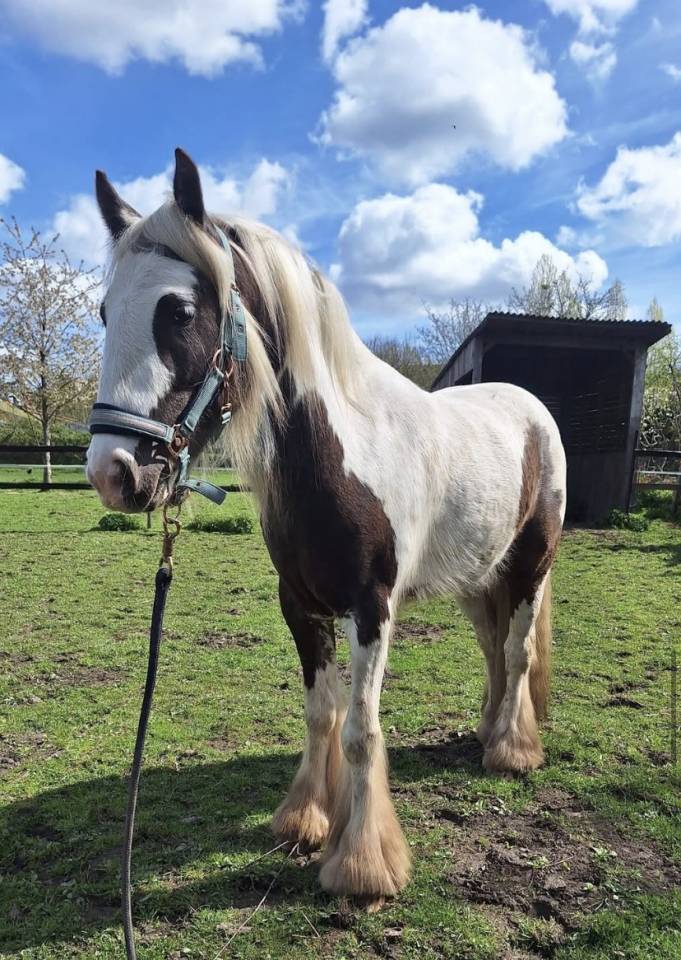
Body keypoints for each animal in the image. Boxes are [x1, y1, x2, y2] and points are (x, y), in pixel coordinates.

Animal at [87, 148, 567, 906]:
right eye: (107, 311)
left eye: (179, 310)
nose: (113, 471)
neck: (341, 451)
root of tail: (530, 409)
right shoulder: (301, 605)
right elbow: (321, 713)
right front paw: (305, 821)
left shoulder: (370, 610)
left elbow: (361, 730)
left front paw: (361, 866)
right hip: (474, 577)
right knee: (493, 650)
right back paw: (489, 730)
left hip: (529, 566)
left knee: (516, 653)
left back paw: (510, 751)